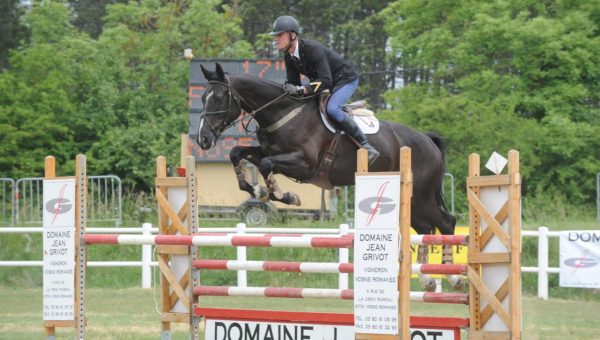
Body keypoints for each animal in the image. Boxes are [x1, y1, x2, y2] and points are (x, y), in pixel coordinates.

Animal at [197, 63, 460, 290]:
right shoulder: (267, 152)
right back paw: (427, 279)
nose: (203, 139)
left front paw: (286, 196)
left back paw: (453, 278)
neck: (283, 113)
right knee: (425, 228)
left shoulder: (304, 164)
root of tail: (428, 140)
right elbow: (237, 153)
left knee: (446, 222)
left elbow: (266, 166)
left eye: (219, 97)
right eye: (202, 98)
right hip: (412, 199)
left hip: (422, 195)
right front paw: (258, 190)